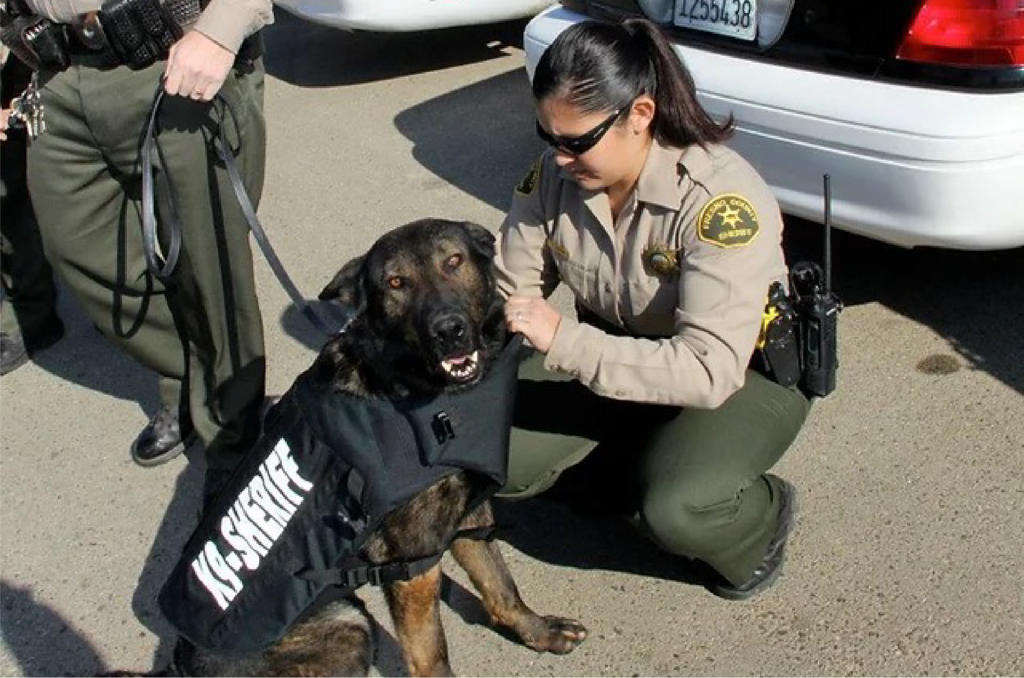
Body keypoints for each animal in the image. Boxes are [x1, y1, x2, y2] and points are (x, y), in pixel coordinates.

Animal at [168, 220, 585, 675]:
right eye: (396, 283)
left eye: (454, 261)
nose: (449, 331)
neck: (410, 385)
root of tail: (179, 666)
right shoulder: (412, 566)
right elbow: (431, 654)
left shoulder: (467, 517)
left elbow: (500, 583)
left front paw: (538, 631)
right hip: (351, 624)